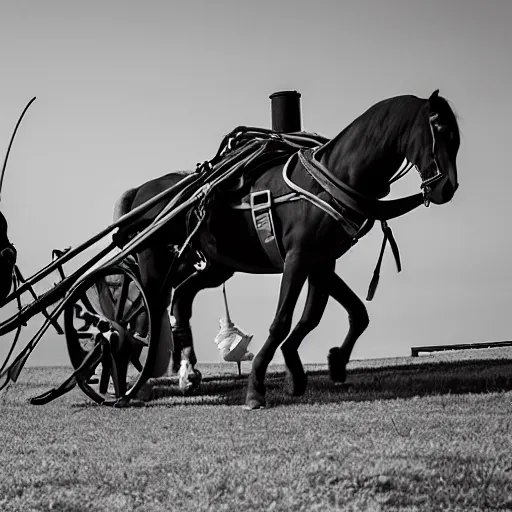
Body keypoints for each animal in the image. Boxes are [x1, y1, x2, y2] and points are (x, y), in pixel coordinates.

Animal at [116, 91, 460, 408]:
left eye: (457, 138)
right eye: (439, 129)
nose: (448, 188)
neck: (329, 178)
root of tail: (142, 190)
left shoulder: (321, 262)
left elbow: (335, 315)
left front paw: (322, 364)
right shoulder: (298, 258)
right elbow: (282, 321)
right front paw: (256, 385)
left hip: (215, 265)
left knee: (180, 301)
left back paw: (185, 371)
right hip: (156, 267)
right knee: (145, 315)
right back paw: (132, 383)